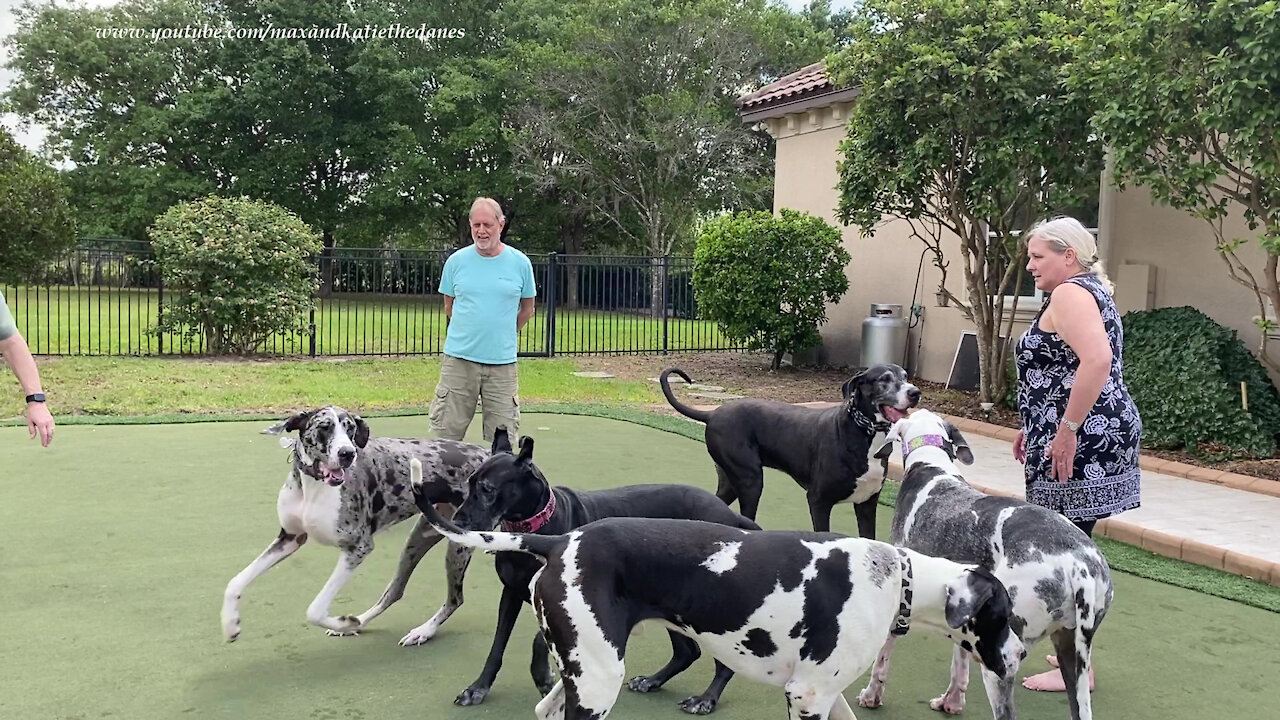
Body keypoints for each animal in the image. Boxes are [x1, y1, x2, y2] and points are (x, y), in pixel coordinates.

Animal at [218, 407, 483, 640]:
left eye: (351, 429)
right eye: (325, 427)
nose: (347, 453)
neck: (313, 487)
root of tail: (487, 454)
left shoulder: (357, 548)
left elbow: (315, 610)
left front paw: (344, 622)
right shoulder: (290, 538)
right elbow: (234, 582)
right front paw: (230, 625)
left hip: (459, 546)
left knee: (455, 599)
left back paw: (423, 631)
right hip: (418, 538)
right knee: (394, 592)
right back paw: (363, 621)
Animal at [414, 456, 1024, 712]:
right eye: (1002, 616)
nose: (1020, 654)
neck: (897, 577)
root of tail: (559, 541)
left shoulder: (825, 697)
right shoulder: (806, 696)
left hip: (584, 673)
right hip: (596, 682)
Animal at [445, 422, 757, 707]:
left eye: (487, 489)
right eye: (469, 483)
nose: (456, 523)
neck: (536, 524)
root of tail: (730, 515)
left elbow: (538, 640)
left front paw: (543, 676)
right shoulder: (510, 593)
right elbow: (497, 647)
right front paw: (478, 688)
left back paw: (707, 698)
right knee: (687, 651)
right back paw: (653, 681)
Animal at [860, 409, 1111, 717]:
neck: (931, 465)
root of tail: (1079, 565)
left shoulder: (904, 596)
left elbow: (882, 659)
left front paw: (872, 695)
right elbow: (960, 664)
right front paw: (951, 702)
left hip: (1003, 658)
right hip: (1072, 653)